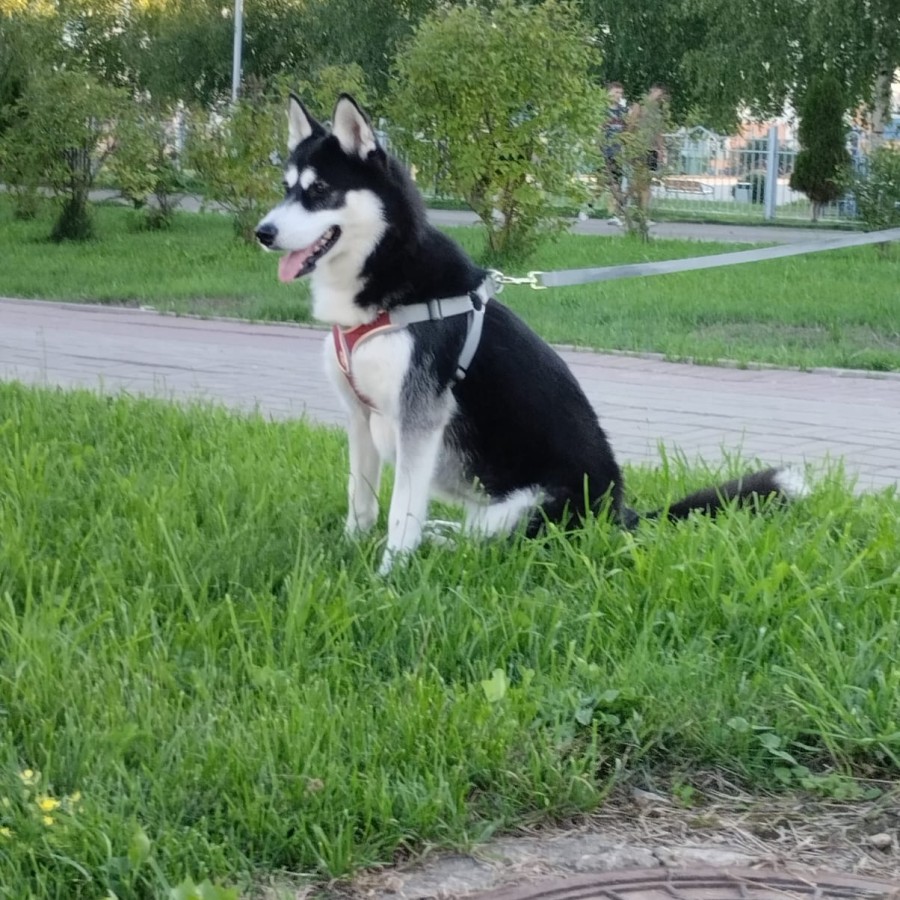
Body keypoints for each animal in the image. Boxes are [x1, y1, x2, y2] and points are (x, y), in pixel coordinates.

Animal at [255, 93, 806, 574]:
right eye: (286, 187)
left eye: (319, 192)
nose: (262, 232)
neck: (386, 282)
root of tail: (620, 514)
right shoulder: (359, 417)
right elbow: (362, 501)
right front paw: (350, 548)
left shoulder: (419, 421)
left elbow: (400, 514)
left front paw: (388, 575)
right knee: (474, 534)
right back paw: (441, 533)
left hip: (528, 506)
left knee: (493, 544)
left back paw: (439, 544)